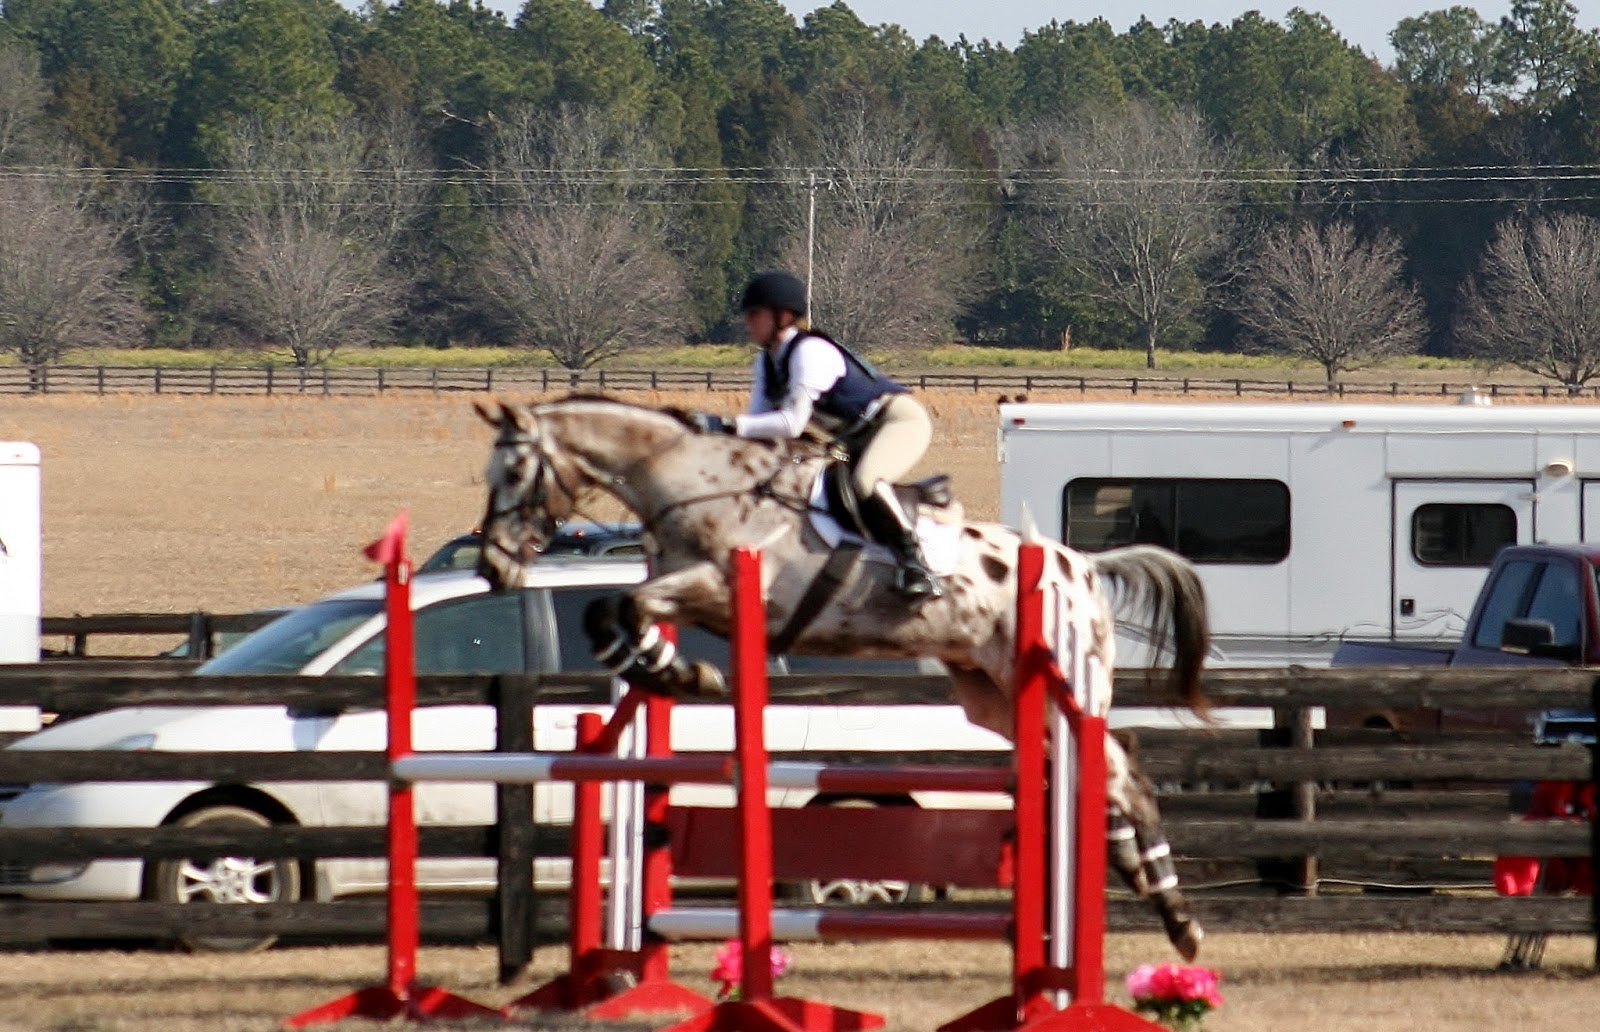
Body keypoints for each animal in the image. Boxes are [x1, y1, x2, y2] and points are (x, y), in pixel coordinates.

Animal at [472, 395, 1210, 960]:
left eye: (516, 469)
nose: (492, 567)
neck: (695, 479)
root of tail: (1080, 564)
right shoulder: (685, 586)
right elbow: (611, 611)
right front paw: (669, 667)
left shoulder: (724, 585)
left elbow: (626, 606)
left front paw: (689, 672)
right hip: (992, 694)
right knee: (1099, 765)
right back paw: (1137, 875)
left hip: (1059, 676)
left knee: (1122, 770)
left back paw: (1179, 918)